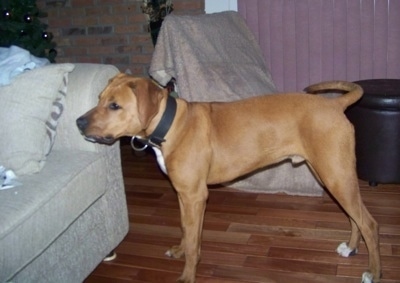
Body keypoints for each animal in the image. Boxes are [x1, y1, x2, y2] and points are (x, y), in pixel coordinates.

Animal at [76, 74, 380, 282]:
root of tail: (335, 104)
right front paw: (180, 251)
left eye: (115, 106)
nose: (78, 122)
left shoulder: (195, 196)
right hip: (333, 175)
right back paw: (351, 248)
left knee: (369, 223)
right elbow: (187, 230)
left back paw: (373, 273)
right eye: (99, 98)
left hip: (336, 176)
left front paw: (187, 275)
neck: (170, 124)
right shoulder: (185, 194)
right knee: (355, 218)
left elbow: (194, 242)